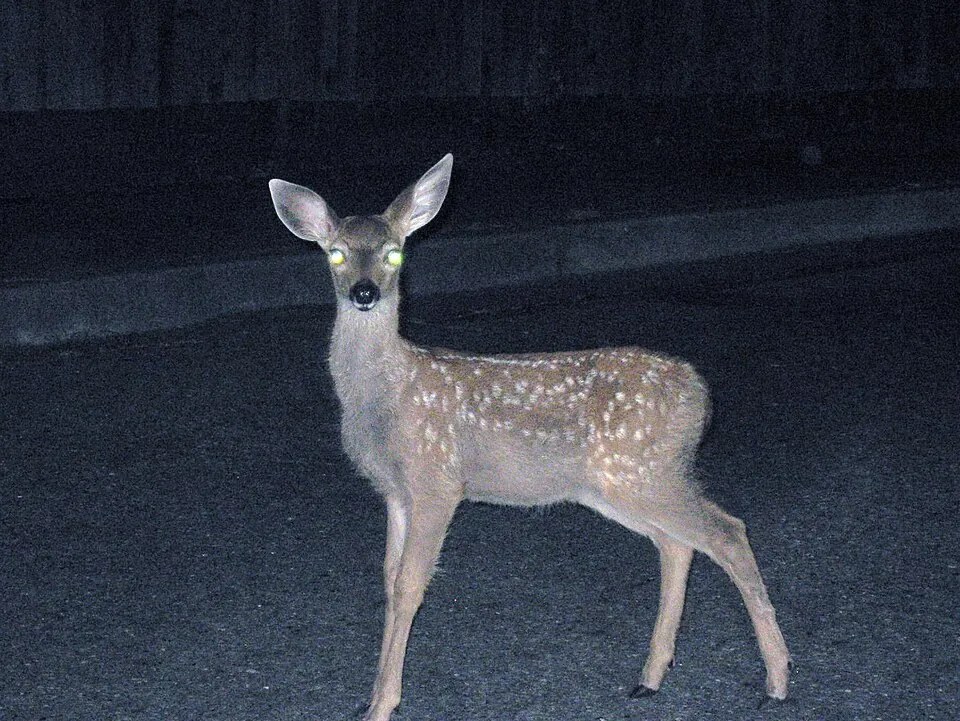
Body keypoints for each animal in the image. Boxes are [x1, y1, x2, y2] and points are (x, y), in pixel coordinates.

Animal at [268, 155, 790, 721]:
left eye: (395, 253)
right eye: (336, 254)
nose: (365, 293)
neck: (387, 399)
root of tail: (701, 394)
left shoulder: (437, 480)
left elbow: (410, 585)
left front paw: (383, 704)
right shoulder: (395, 493)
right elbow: (387, 579)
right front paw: (373, 695)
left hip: (643, 471)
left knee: (727, 531)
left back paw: (777, 680)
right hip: (618, 484)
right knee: (676, 544)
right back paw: (650, 678)